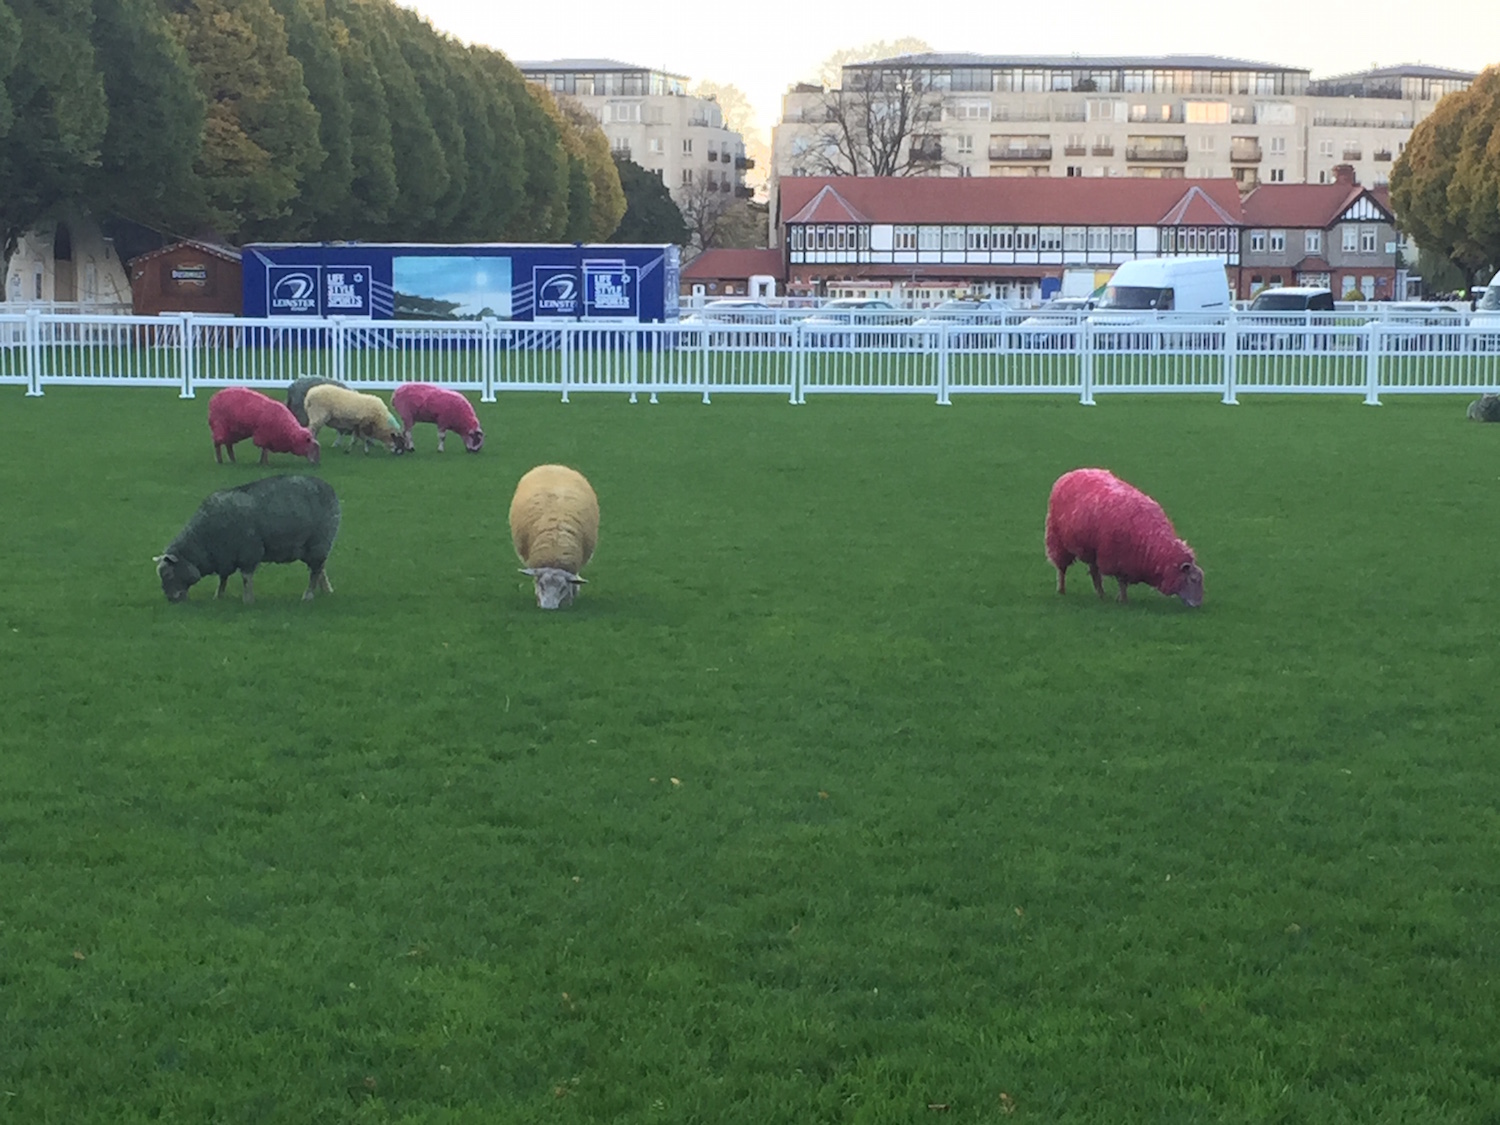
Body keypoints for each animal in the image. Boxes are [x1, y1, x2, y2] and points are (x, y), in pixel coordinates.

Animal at [156, 477, 343, 609]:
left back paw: (308, 596)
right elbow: (223, 578)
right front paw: (218, 596)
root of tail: (330, 488)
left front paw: (248, 600)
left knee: (315, 570)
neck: (203, 540)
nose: (171, 600)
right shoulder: (225, 557)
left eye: (169, 574)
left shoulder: (249, 552)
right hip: (312, 548)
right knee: (320, 568)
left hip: (318, 542)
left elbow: (246, 578)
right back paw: (326, 590)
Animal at [507, 465, 594, 612]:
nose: (549, 608)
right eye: (541, 585)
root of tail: (555, 466)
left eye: (562, 588)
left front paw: (569, 600)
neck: (555, 549)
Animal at [1044, 468, 1206, 609]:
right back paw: (1061, 589)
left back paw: (1101, 594)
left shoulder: (1127, 560)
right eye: (1193, 579)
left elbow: (1122, 581)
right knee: (1062, 568)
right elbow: (1122, 582)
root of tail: (1073, 472)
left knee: (1094, 571)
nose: (1197, 605)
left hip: (1093, 548)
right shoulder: (1118, 558)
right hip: (1057, 538)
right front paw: (1123, 600)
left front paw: (1119, 598)